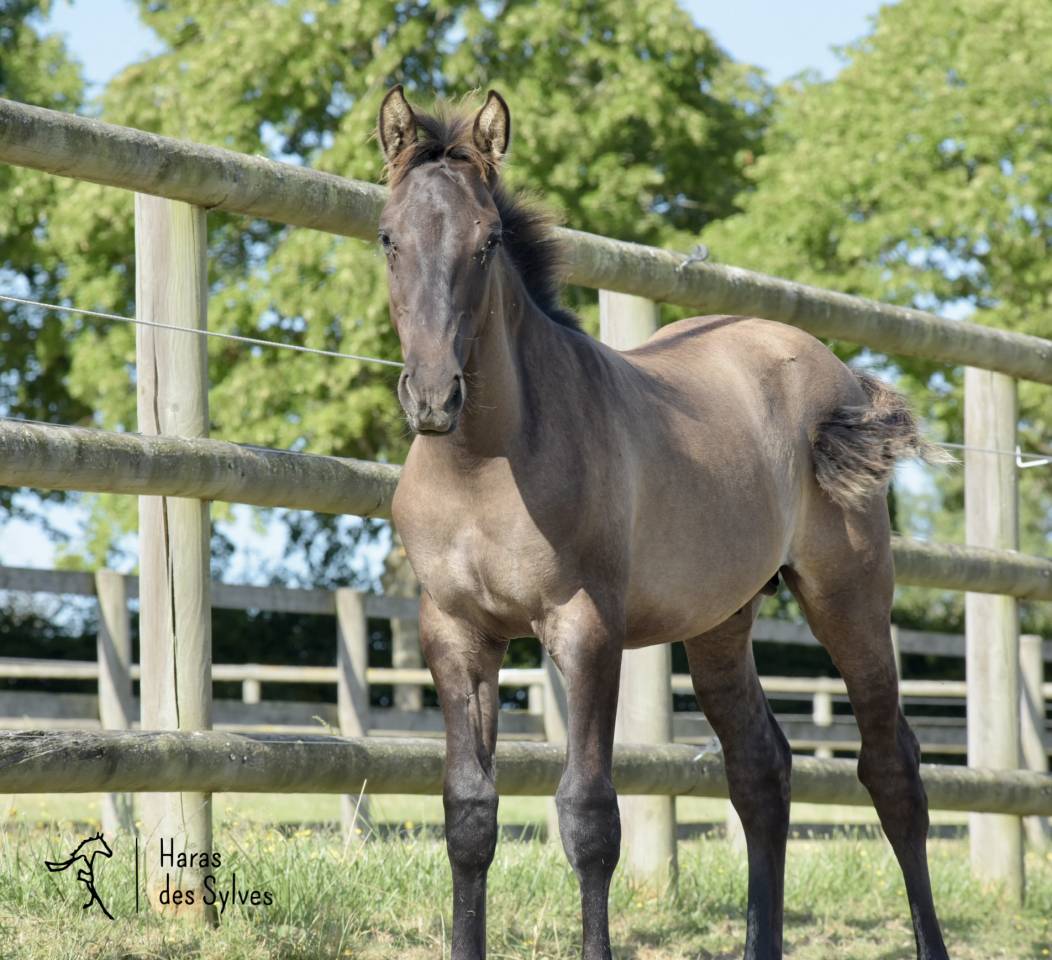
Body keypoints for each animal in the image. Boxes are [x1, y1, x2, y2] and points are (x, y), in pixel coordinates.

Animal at [376, 85, 951, 960]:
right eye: (388, 236)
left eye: (488, 239)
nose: (434, 397)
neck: (482, 464)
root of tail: (839, 373)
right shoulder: (455, 632)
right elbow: (469, 813)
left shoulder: (586, 629)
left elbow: (589, 816)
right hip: (721, 620)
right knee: (760, 768)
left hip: (849, 596)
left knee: (893, 769)